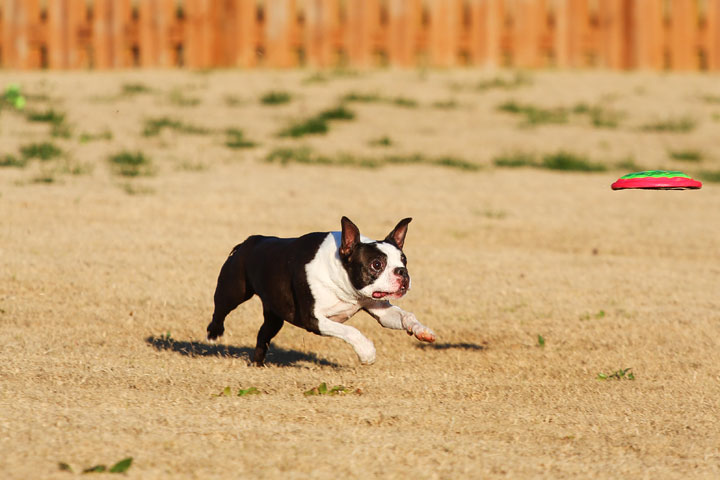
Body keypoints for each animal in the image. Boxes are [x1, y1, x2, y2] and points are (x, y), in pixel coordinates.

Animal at [205, 216, 436, 366]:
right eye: (376, 264)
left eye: (404, 260)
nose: (402, 272)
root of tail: (250, 240)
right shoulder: (313, 319)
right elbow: (350, 330)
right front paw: (367, 352)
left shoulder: (378, 308)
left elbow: (405, 316)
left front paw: (422, 330)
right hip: (233, 290)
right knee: (220, 309)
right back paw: (214, 333)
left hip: (274, 316)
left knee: (263, 335)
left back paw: (257, 365)